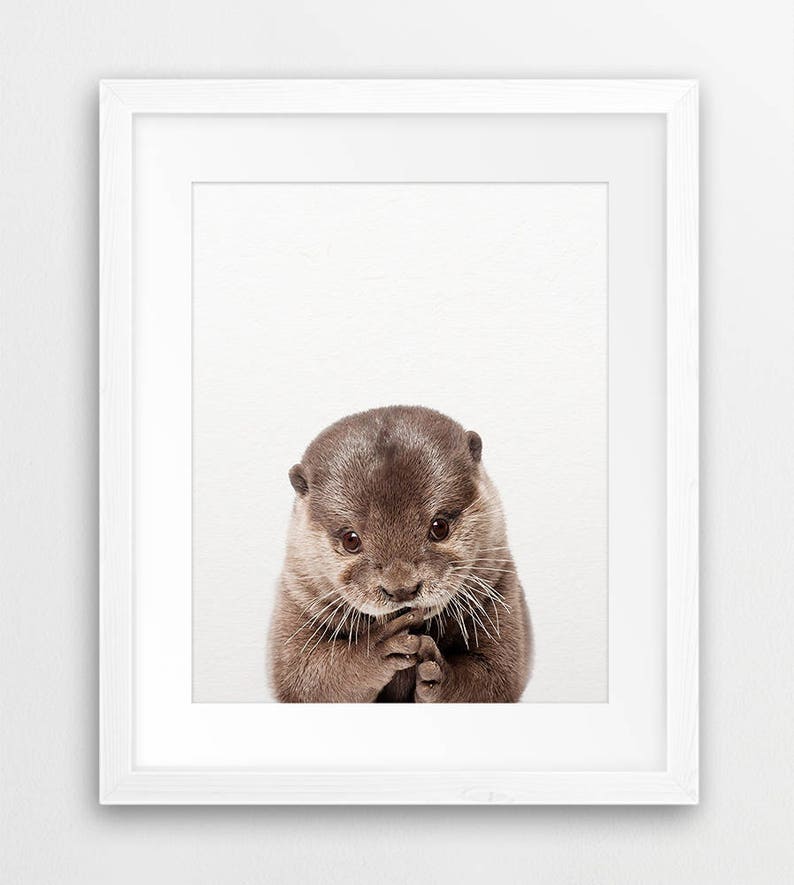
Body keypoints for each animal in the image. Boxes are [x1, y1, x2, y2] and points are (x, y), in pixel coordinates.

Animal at [268, 406, 532, 703]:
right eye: (351, 539)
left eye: (439, 526)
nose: (402, 589)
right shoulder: (296, 599)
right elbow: (304, 678)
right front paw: (378, 647)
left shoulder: (501, 591)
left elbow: (495, 677)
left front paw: (437, 672)